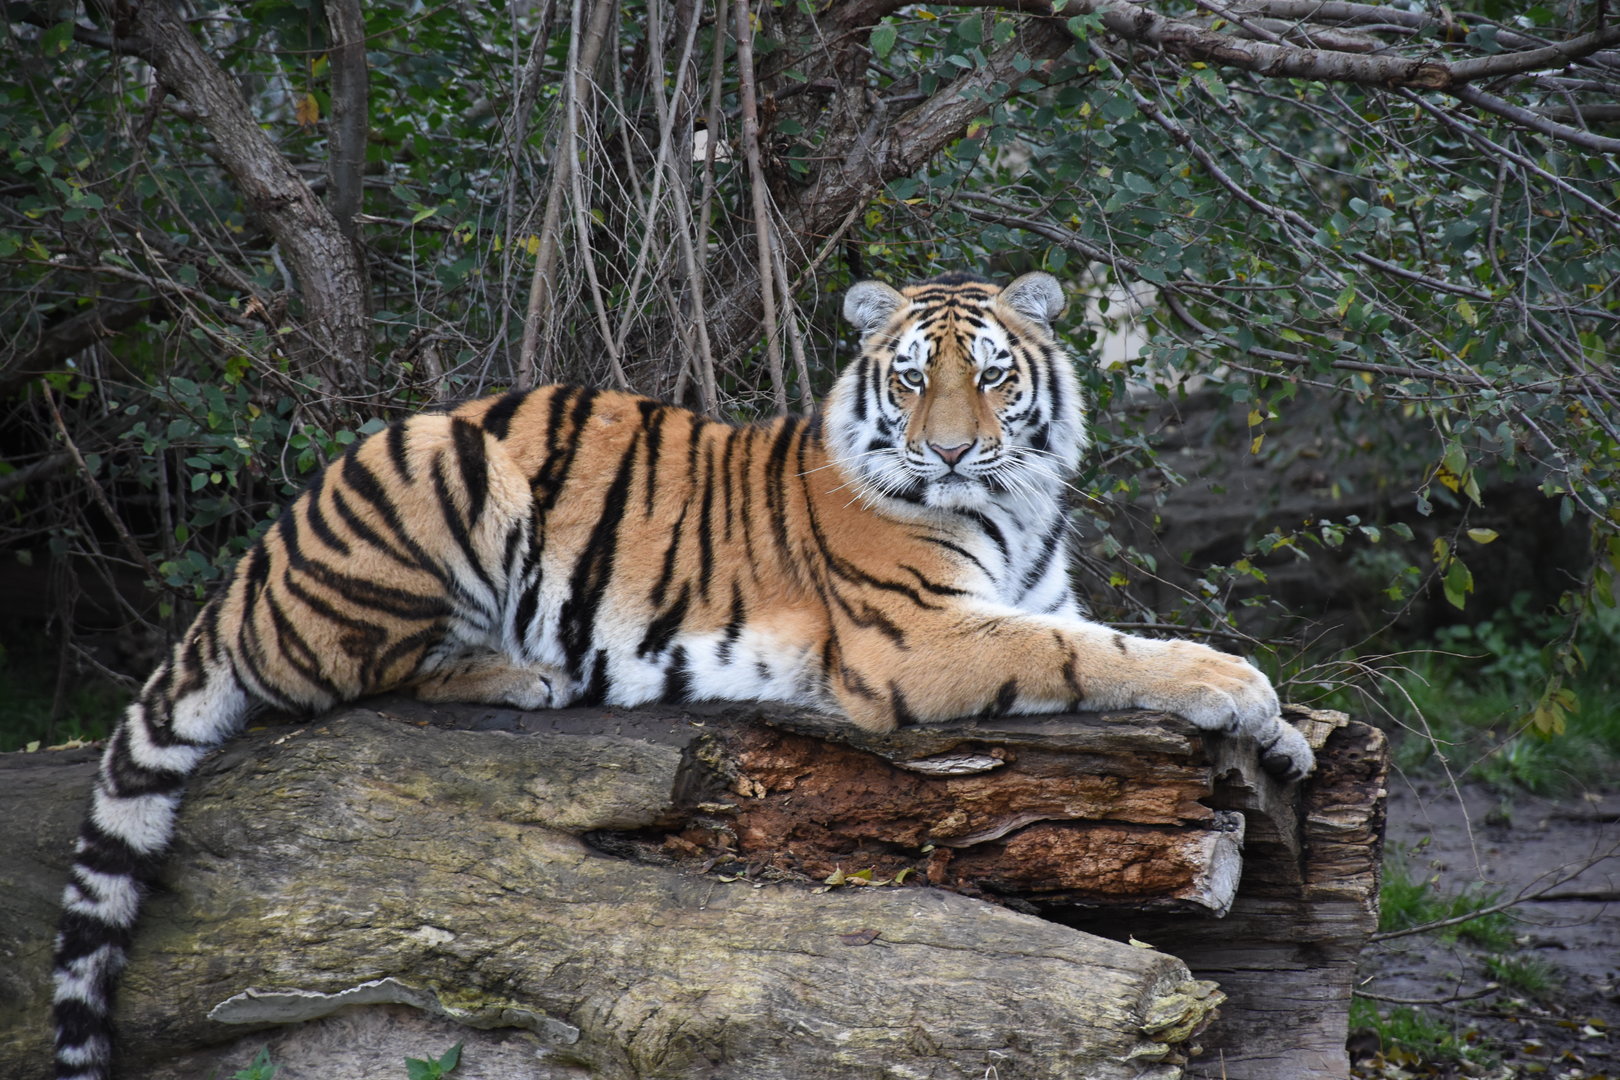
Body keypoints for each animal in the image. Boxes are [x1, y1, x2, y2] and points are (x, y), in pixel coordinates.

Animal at [51, 269, 1313, 1079]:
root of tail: (250, 570)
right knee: (356, 676)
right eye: (912, 381)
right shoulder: (927, 638)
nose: (952, 449)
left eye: (995, 377)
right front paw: (1238, 688)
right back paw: (527, 676)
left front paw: (1289, 737)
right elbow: (1107, 654)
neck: (1012, 500)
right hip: (436, 458)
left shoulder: (1032, 596)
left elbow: (1112, 635)